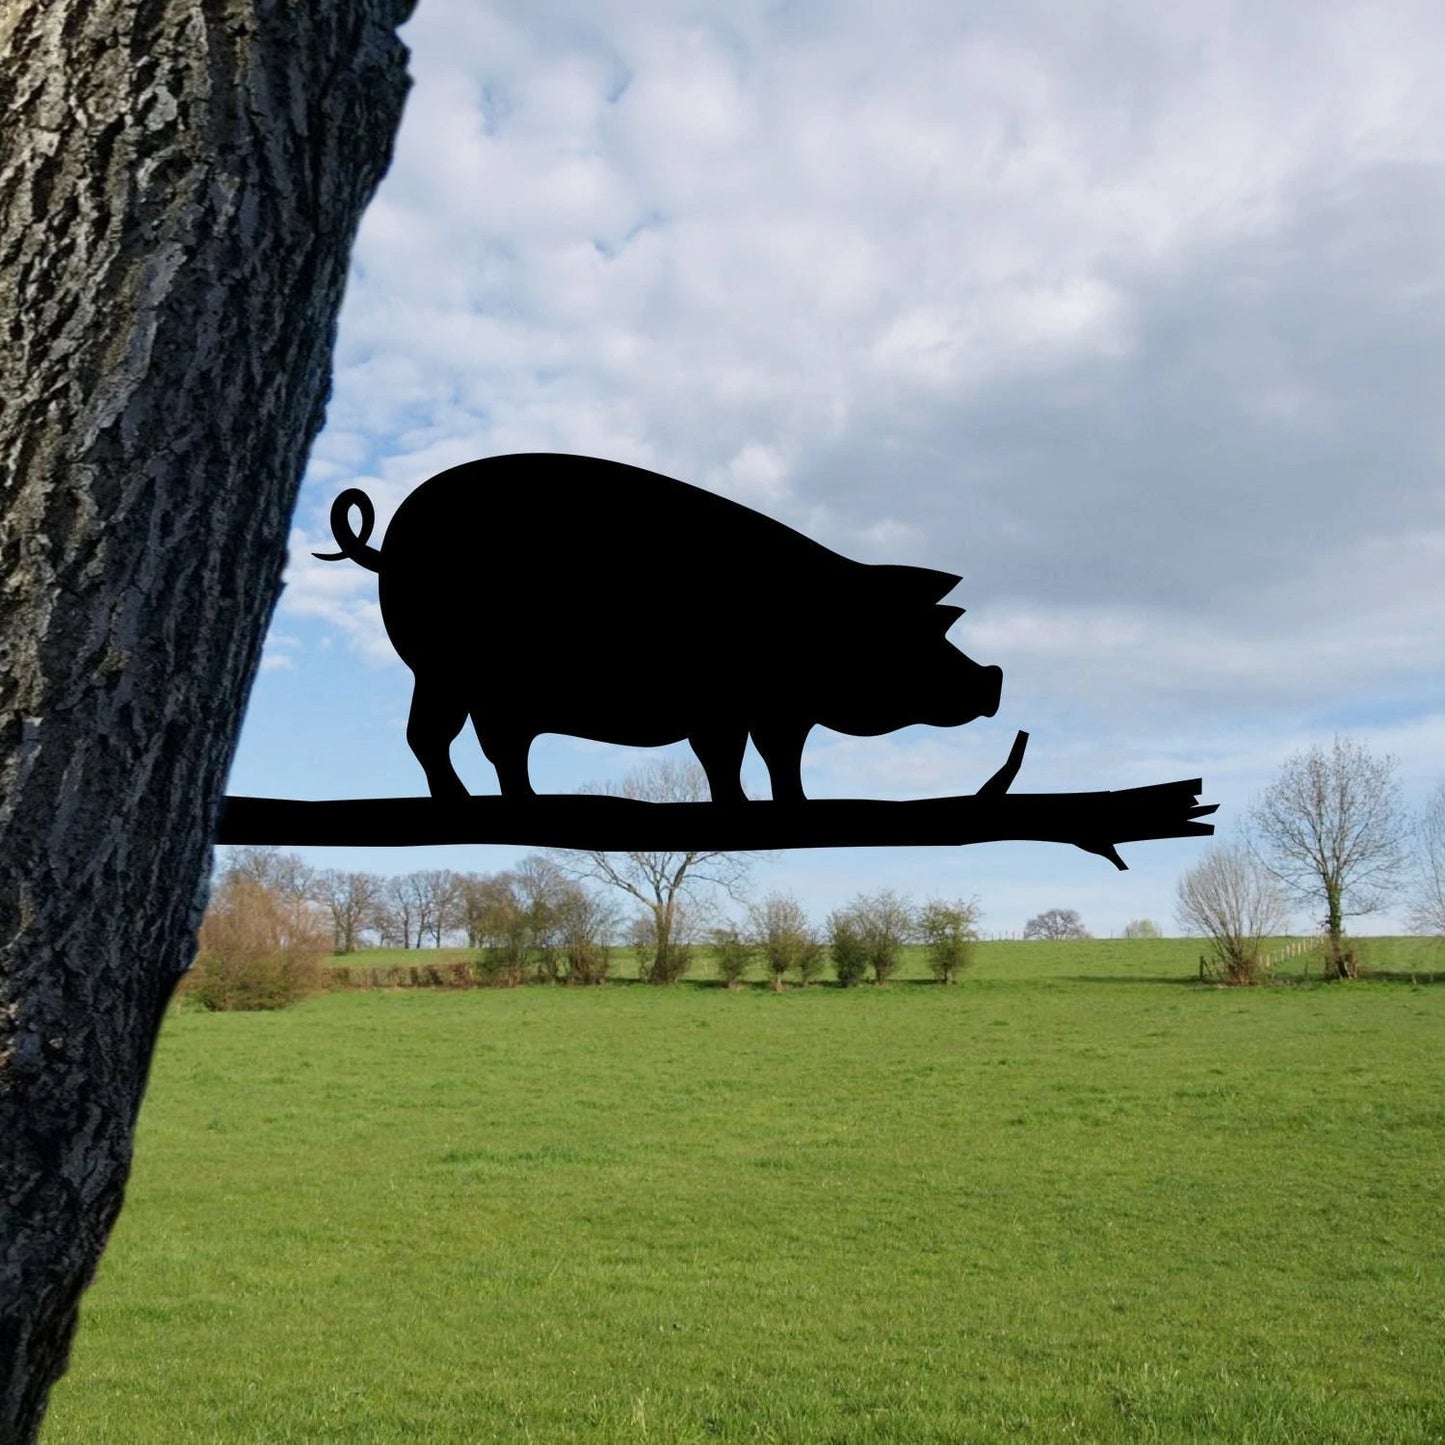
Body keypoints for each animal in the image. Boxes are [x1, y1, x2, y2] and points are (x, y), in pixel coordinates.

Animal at [315, 453, 1003, 804]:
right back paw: (480, 804)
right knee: (440, 739)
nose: (993, 676)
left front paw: (777, 806)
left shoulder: (763, 710)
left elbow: (765, 761)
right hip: (445, 671)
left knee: (473, 744)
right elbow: (741, 759)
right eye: (932, 635)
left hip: (457, 681)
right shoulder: (736, 704)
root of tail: (388, 548)